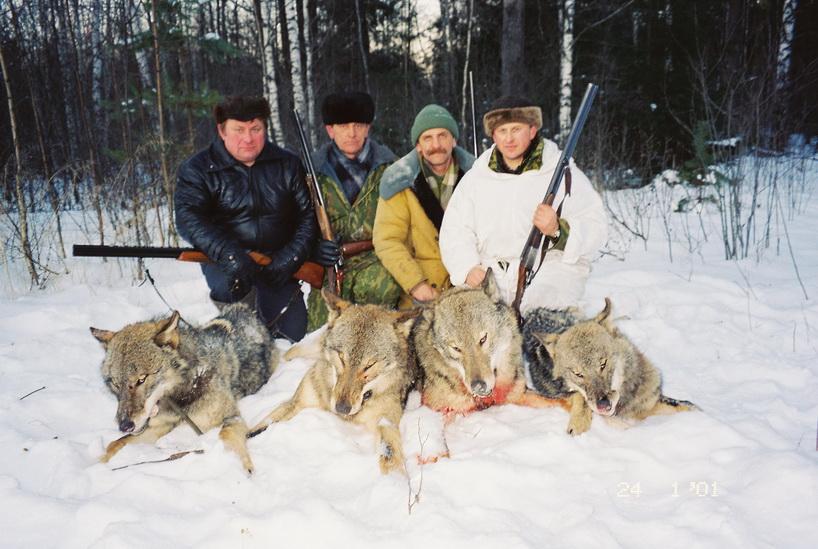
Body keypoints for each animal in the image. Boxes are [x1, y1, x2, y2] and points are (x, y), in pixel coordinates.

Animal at [90, 303, 278, 473]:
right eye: (115, 383)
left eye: (141, 379)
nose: (124, 425)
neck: (179, 400)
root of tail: (245, 308)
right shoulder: (159, 426)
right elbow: (115, 443)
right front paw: (95, 466)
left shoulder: (232, 417)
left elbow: (226, 435)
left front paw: (245, 470)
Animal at [248, 289, 420, 475]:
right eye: (341, 358)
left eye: (369, 365)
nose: (342, 408)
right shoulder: (296, 403)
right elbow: (255, 430)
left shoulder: (387, 423)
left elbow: (391, 458)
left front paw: (395, 480)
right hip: (302, 350)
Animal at [530, 298, 697, 435]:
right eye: (578, 374)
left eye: (603, 364)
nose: (603, 405)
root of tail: (533, 311)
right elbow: (580, 398)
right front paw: (579, 423)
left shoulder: (650, 399)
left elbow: (689, 406)